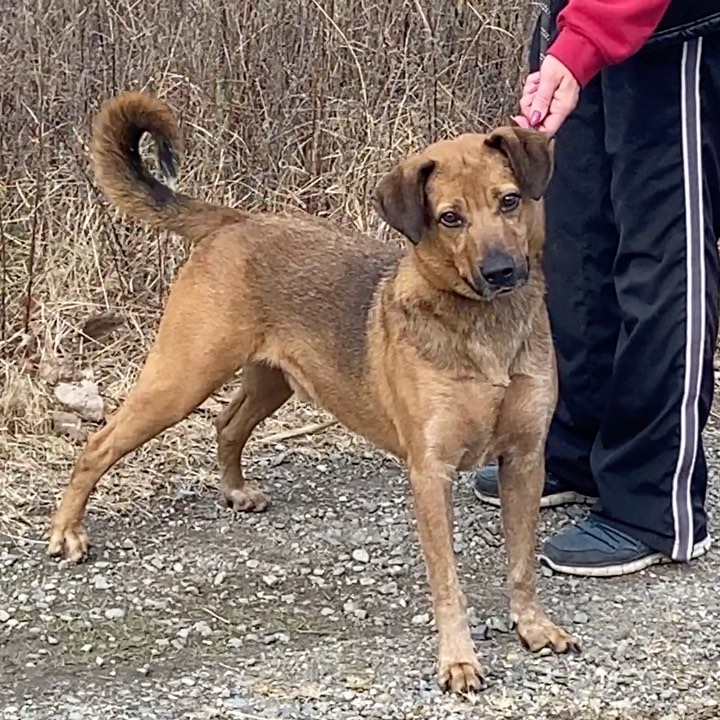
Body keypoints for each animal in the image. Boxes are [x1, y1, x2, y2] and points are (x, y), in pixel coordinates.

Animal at [47, 93, 576, 696]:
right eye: (450, 218)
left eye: (509, 201)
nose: (502, 271)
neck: (484, 328)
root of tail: (236, 220)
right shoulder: (431, 472)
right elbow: (448, 582)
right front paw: (458, 659)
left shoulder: (525, 460)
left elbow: (522, 562)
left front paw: (532, 626)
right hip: (179, 381)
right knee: (97, 445)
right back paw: (67, 531)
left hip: (269, 380)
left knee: (227, 424)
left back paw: (235, 490)